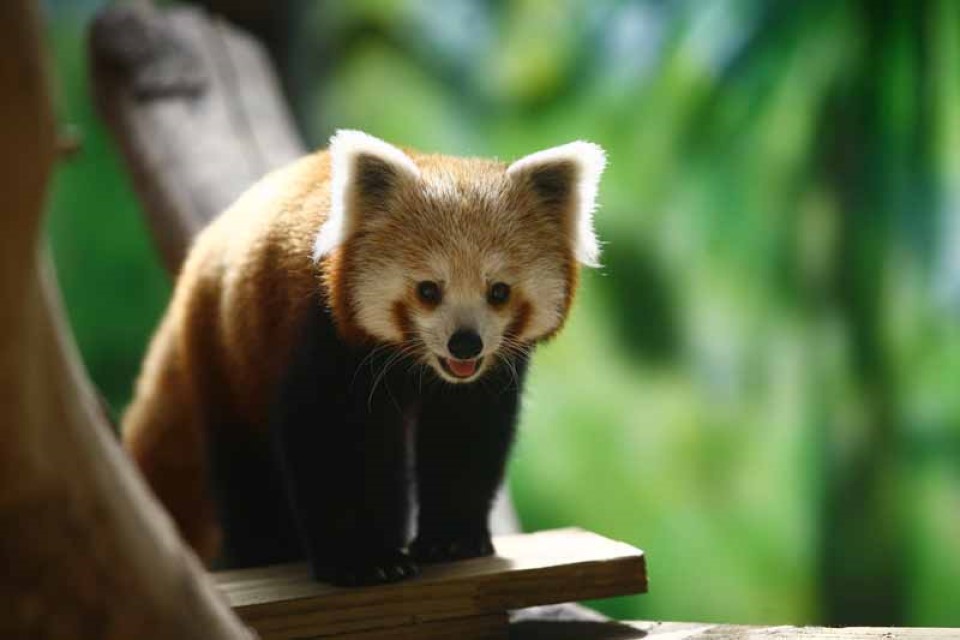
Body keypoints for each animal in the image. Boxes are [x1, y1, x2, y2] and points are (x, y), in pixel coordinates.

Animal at [122, 130, 608, 584]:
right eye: (428, 290)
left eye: (499, 292)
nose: (465, 344)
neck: (418, 365)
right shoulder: (323, 339)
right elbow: (330, 445)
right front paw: (359, 562)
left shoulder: (483, 380)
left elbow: (465, 437)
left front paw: (451, 540)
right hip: (227, 356)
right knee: (249, 470)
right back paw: (272, 552)